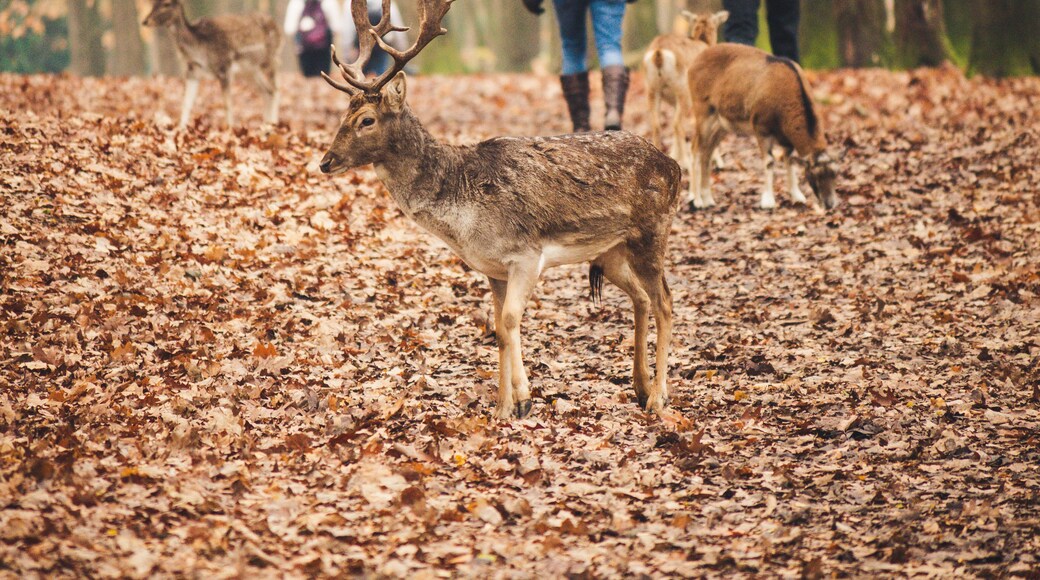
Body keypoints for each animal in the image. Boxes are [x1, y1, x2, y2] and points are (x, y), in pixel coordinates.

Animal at [143, 0, 281, 129]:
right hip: (249, 71)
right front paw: (180, 129)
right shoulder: (192, 70)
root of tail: (280, 30)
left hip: (269, 60)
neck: (199, 49)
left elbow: (227, 104)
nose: (145, 21)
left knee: (275, 90)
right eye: (153, 3)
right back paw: (266, 124)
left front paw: (229, 129)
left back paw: (273, 124)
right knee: (266, 91)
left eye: (167, 3)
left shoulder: (224, 66)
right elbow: (186, 102)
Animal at [319, 0, 682, 420]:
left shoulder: (525, 254)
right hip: (610, 252)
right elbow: (497, 328)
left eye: (366, 120)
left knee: (665, 303)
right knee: (641, 298)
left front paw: (522, 401)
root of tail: (674, 167)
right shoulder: (492, 268)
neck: (464, 219)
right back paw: (640, 387)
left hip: (652, 232)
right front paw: (502, 408)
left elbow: (509, 321)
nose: (325, 162)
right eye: (342, 115)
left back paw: (658, 397)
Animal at [643, 10, 728, 186]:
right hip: (683, 93)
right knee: (677, 125)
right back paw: (687, 165)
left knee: (657, 125)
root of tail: (659, 53)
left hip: (652, 91)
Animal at [686, 43, 839, 211]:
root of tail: (695, 62)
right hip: (703, 113)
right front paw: (768, 201)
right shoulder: (761, 127)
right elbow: (769, 162)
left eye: (834, 174)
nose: (830, 204)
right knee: (695, 150)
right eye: (815, 175)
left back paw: (708, 199)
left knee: (707, 152)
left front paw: (798, 197)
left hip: (720, 125)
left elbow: (789, 161)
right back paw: (695, 200)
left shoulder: (786, 139)